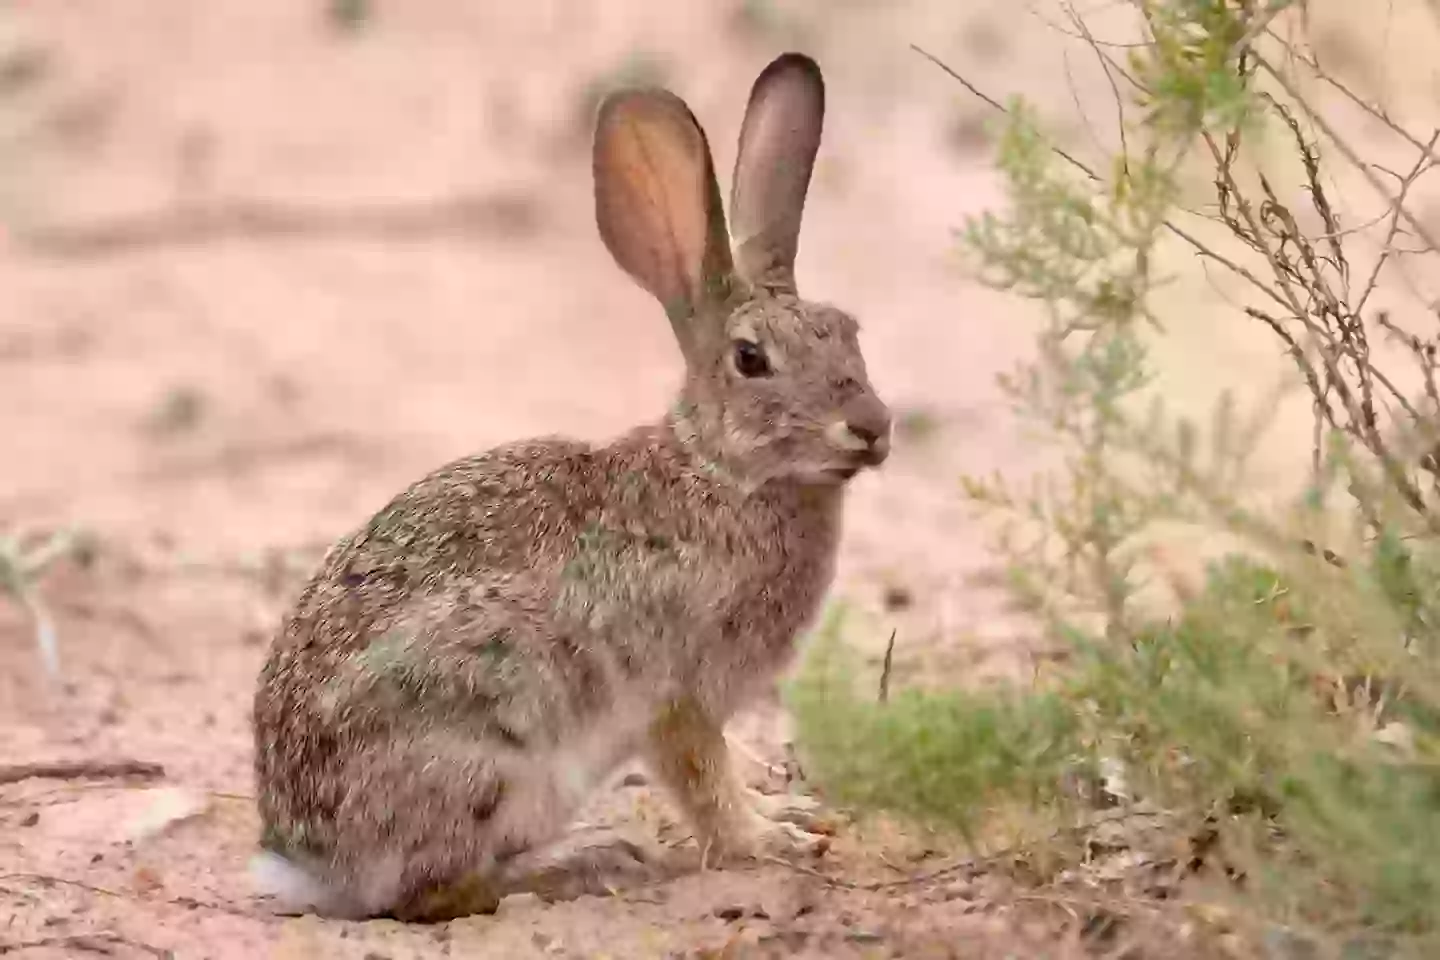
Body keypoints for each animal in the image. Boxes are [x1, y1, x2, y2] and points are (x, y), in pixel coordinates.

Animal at [250, 51, 891, 922]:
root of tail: (309, 861)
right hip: (493, 748)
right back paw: (584, 860)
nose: (872, 426)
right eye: (751, 359)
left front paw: (787, 812)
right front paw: (769, 839)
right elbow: (703, 778)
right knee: (436, 890)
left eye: (850, 331)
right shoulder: (678, 694)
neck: (720, 472)